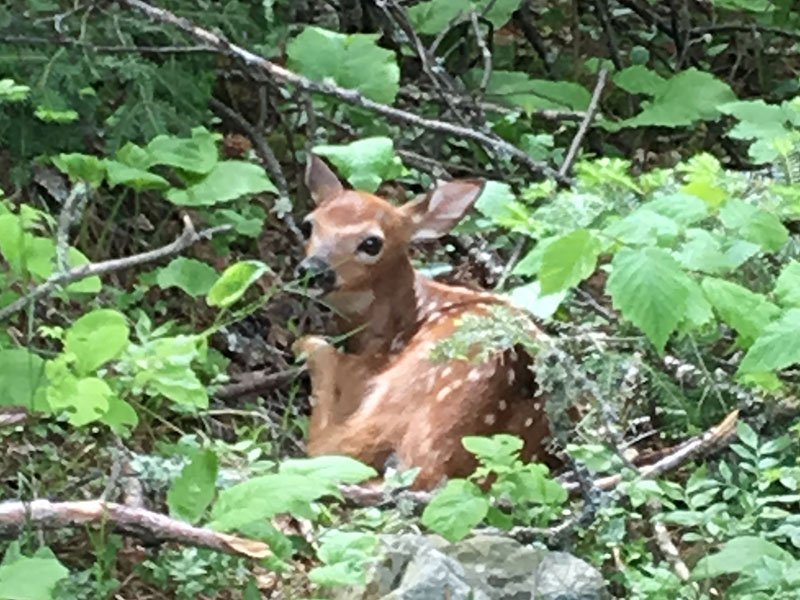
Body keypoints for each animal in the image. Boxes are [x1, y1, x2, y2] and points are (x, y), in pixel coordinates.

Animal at [293, 155, 555, 490]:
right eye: (309, 225)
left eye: (371, 243)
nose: (313, 269)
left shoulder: (367, 369)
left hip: (409, 383)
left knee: (332, 448)